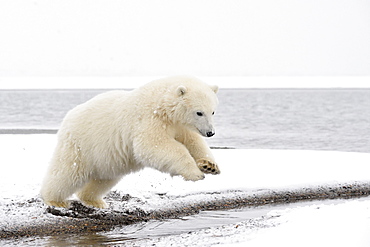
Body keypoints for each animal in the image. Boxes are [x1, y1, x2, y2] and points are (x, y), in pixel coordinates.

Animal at [40, 75, 220, 208]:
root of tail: (68, 118)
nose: (210, 132)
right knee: (67, 173)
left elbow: (193, 141)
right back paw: (55, 200)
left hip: (107, 160)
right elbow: (152, 145)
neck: (162, 105)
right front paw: (196, 173)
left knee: (103, 180)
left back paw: (94, 200)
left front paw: (209, 166)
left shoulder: (179, 125)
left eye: (212, 111)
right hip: (80, 146)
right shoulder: (149, 120)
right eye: (199, 112)